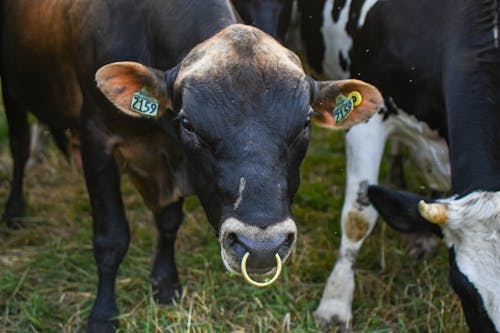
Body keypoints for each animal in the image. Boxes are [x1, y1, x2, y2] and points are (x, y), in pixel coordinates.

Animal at [0, 0, 382, 330]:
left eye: (305, 122)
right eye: (189, 123)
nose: (262, 247)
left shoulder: (176, 159)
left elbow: (169, 221)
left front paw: (166, 283)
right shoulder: (98, 137)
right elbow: (111, 238)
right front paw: (103, 315)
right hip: (12, 91)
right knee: (19, 146)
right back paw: (14, 210)